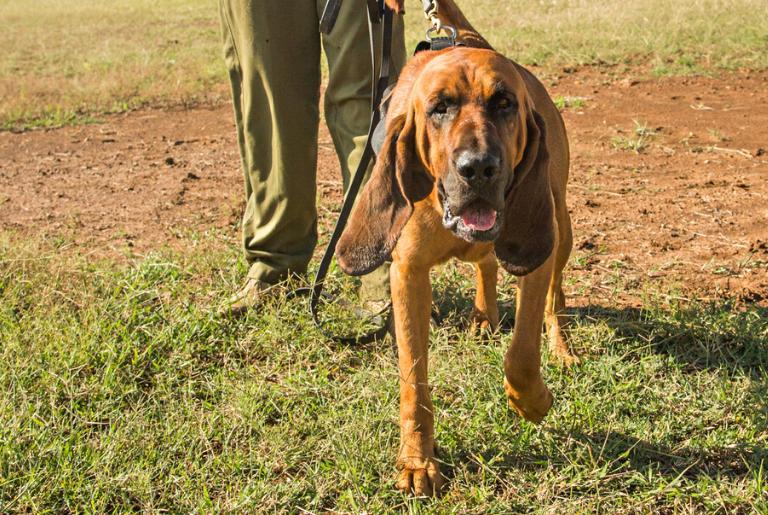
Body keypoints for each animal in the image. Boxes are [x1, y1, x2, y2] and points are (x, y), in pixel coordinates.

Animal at [336, 1, 576, 500]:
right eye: (439, 108)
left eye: (504, 103)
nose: (478, 168)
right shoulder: (407, 274)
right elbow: (413, 381)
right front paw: (417, 461)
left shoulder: (536, 255)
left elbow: (522, 354)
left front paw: (534, 401)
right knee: (484, 263)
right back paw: (484, 316)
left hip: (560, 227)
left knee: (554, 298)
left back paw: (560, 348)